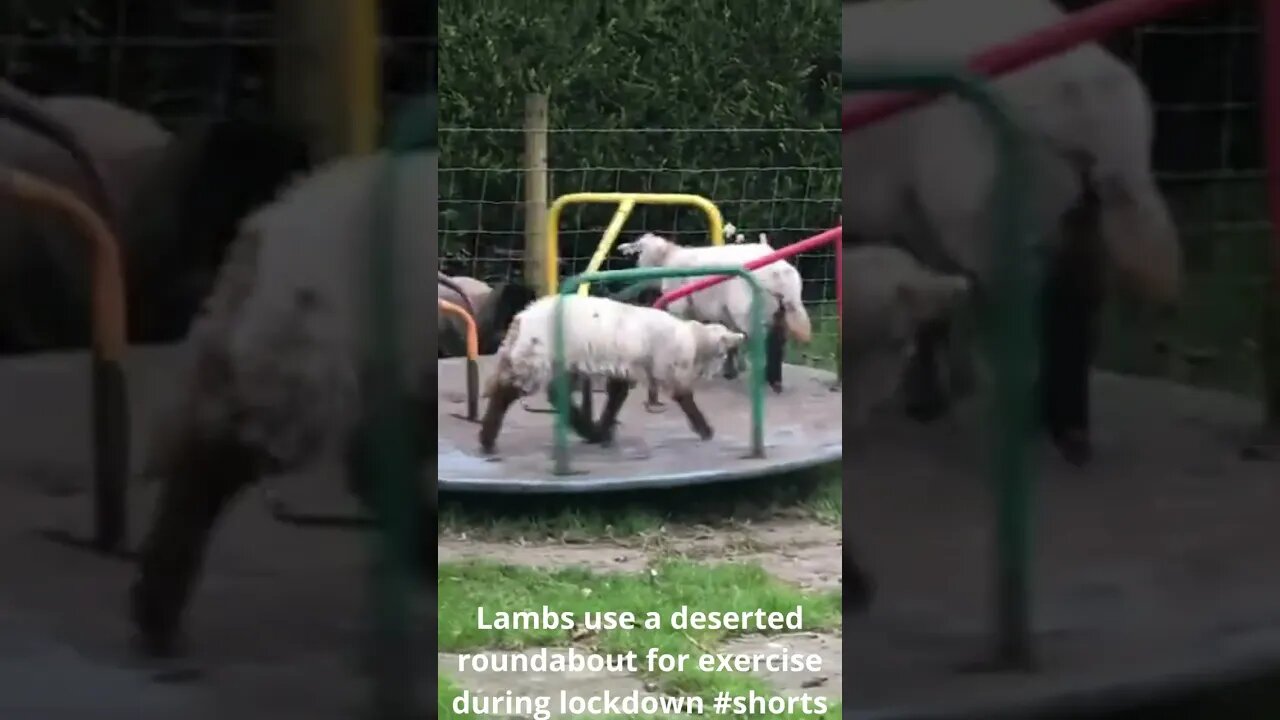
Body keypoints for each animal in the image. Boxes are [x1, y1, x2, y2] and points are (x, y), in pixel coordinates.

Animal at [476, 288, 747, 450]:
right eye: (724, 354)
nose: (726, 373)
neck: (692, 339)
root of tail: (521, 318)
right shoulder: (670, 368)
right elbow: (685, 399)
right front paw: (705, 430)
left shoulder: (624, 368)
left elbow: (616, 397)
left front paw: (604, 429)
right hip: (537, 359)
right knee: (507, 392)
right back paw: (487, 439)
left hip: (557, 361)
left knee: (551, 393)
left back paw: (590, 431)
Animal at [611, 230, 808, 392]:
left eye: (639, 250)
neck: (667, 258)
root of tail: (780, 272)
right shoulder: (723, 313)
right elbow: (731, 340)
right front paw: (730, 371)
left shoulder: (679, 305)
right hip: (780, 310)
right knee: (778, 341)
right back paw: (774, 381)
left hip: (748, 311)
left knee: (762, 343)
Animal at [839, 0, 1177, 461]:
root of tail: (1090, 88)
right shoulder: (914, 219)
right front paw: (934, 395)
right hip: (1075, 210)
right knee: (1076, 306)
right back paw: (1067, 430)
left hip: (990, 212)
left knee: (1033, 319)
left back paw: (1021, 425)